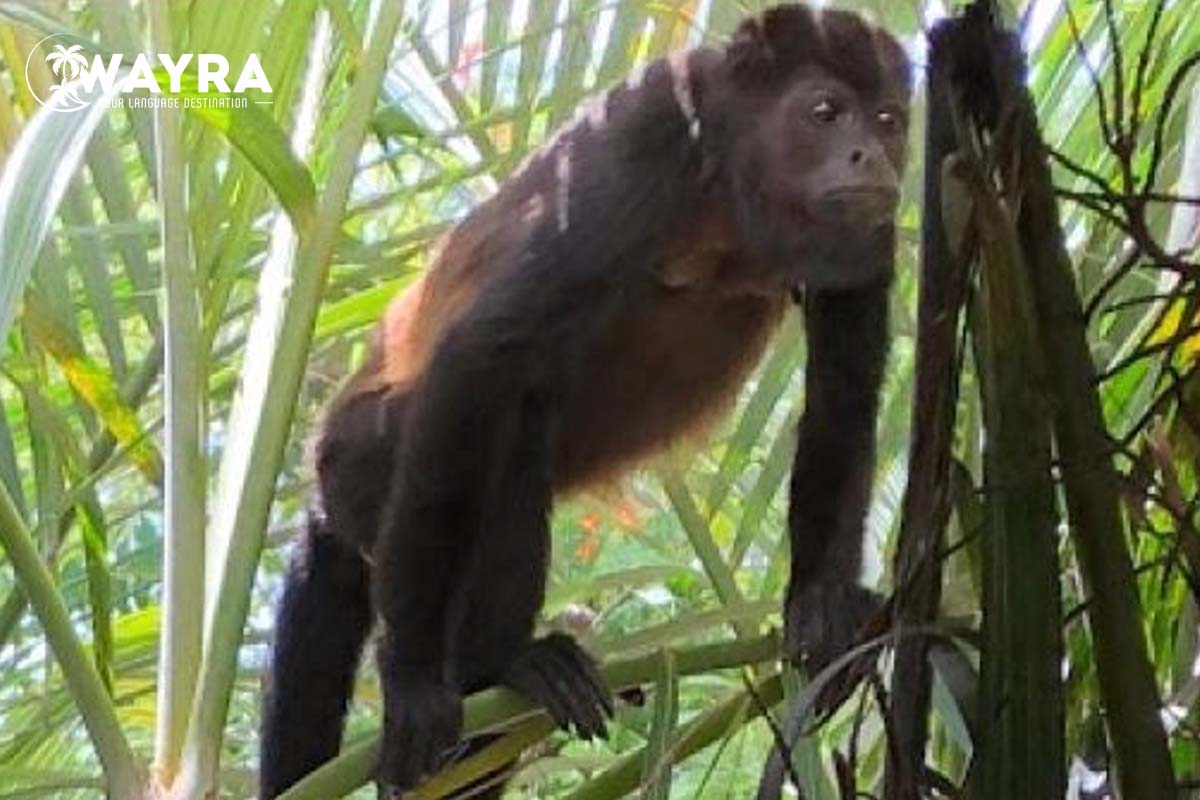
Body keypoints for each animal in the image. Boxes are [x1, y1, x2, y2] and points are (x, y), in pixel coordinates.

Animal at [260, 3, 907, 796]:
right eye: (825, 112)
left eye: (888, 119)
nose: (873, 158)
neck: (730, 195)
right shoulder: (640, 141)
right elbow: (480, 355)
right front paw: (411, 678)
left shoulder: (867, 229)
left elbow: (843, 392)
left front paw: (822, 602)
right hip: (365, 464)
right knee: (510, 417)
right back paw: (502, 664)